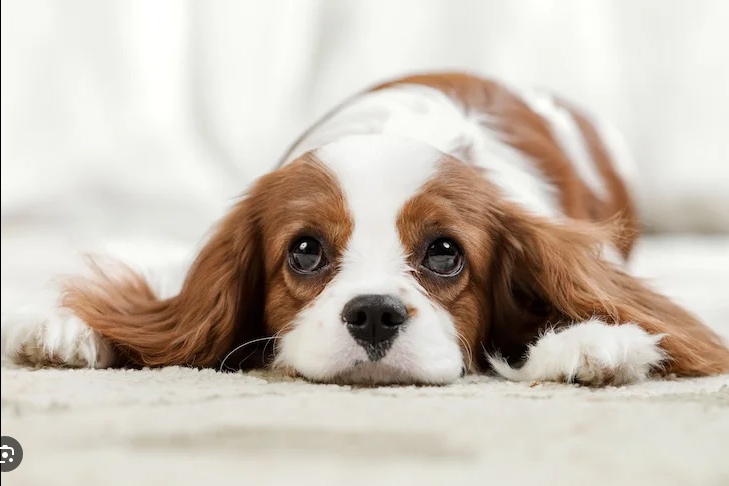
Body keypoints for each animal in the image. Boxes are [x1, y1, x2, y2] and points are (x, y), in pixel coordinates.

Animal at [1, 72, 728, 386]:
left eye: (444, 253)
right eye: (304, 250)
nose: (374, 313)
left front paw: (593, 341)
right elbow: (162, 310)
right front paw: (73, 328)